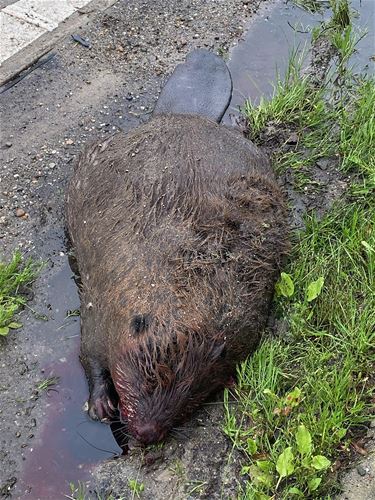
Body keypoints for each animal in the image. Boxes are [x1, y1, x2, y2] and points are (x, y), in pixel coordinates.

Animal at [65, 49, 288, 446]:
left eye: (190, 390)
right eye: (146, 379)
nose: (145, 432)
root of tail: (184, 114)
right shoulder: (101, 307)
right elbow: (89, 353)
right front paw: (100, 406)